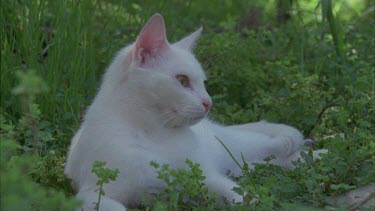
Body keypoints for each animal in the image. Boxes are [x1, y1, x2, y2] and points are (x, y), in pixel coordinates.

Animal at [65, 14, 320, 210]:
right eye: (182, 80)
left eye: (203, 82)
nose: (208, 103)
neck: (154, 134)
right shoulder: (93, 193)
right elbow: (114, 206)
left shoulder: (208, 178)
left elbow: (241, 195)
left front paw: (259, 202)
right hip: (239, 163)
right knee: (276, 161)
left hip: (238, 149)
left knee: (276, 148)